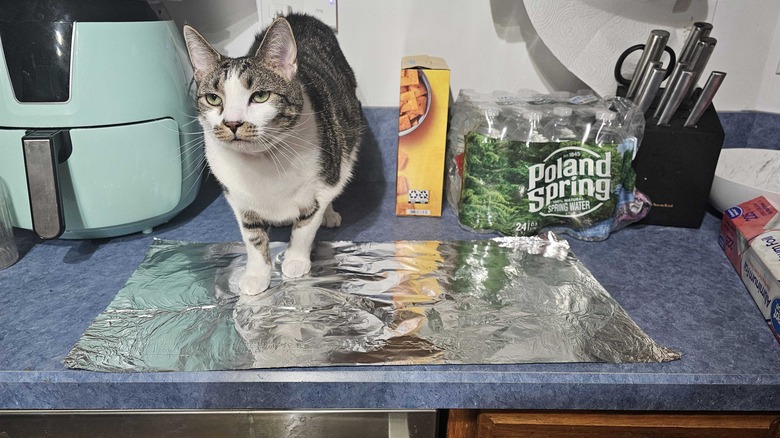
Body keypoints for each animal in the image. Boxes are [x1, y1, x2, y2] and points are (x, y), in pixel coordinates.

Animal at [183, 14, 362, 294]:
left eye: (260, 96)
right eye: (213, 99)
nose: (232, 123)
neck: (262, 162)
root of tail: (300, 16)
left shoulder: (320, 187)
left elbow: (305, 226)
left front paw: (295, 260)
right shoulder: (238, 198)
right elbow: (252, 237)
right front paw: (257, 275)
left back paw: (330, 215)